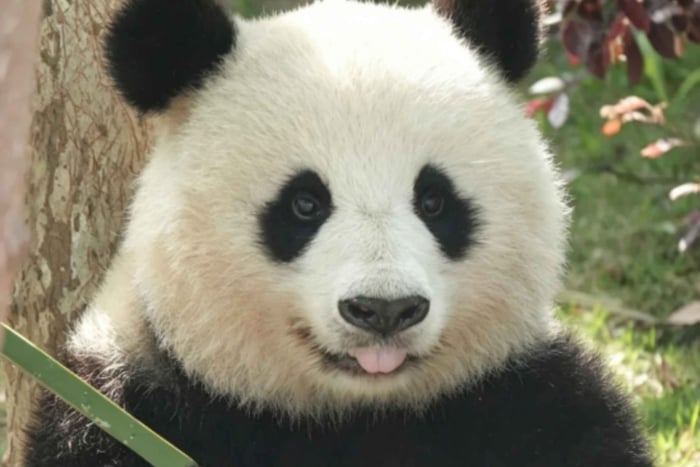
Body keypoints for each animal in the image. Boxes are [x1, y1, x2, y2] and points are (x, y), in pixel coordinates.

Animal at [24, 0, 652, 465]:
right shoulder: (125, 401)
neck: (350, 412)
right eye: (304, 205)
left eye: (434, 200)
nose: (384, 309)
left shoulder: (522, 393)